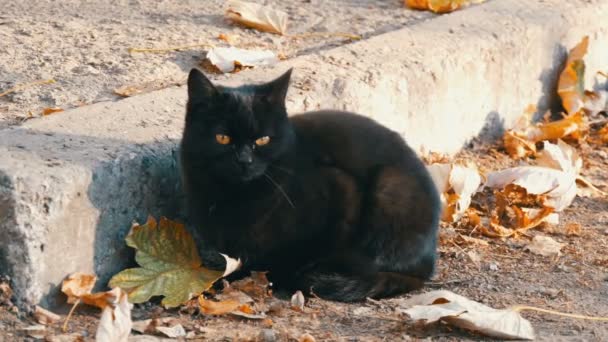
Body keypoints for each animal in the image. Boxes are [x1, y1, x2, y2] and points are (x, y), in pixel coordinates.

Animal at [178, 67, 440, 302]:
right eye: (222, 138)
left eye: (263, 140)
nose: (244, 161)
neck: (235, 195)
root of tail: (427, 266)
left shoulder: (341, 188)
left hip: (390, 189)